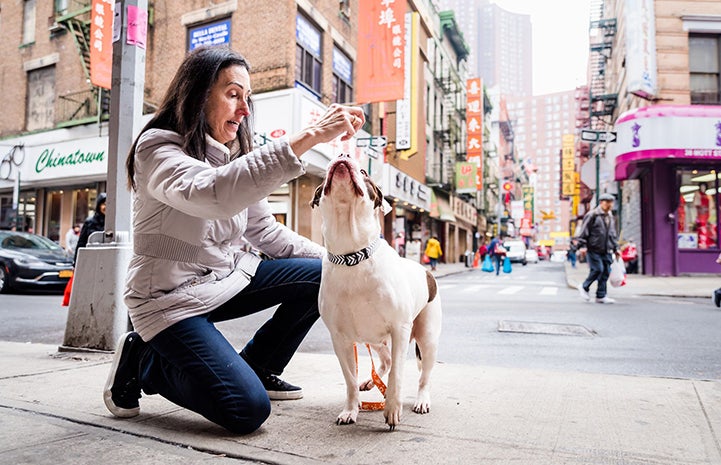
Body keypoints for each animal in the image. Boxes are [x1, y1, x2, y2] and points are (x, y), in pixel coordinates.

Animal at [312, 154, 442, 430]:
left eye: (364, 171)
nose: (343, 155)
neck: (352, 255)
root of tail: (425, 271)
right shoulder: (339, 338)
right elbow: (349, 379)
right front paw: (351, 409)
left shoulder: (399, 329)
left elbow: (397, 377)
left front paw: (392, 408)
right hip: (374, 338)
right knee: (386, 361)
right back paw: (371, 381)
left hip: (427, 337)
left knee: (422, 375)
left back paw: (421, 400)